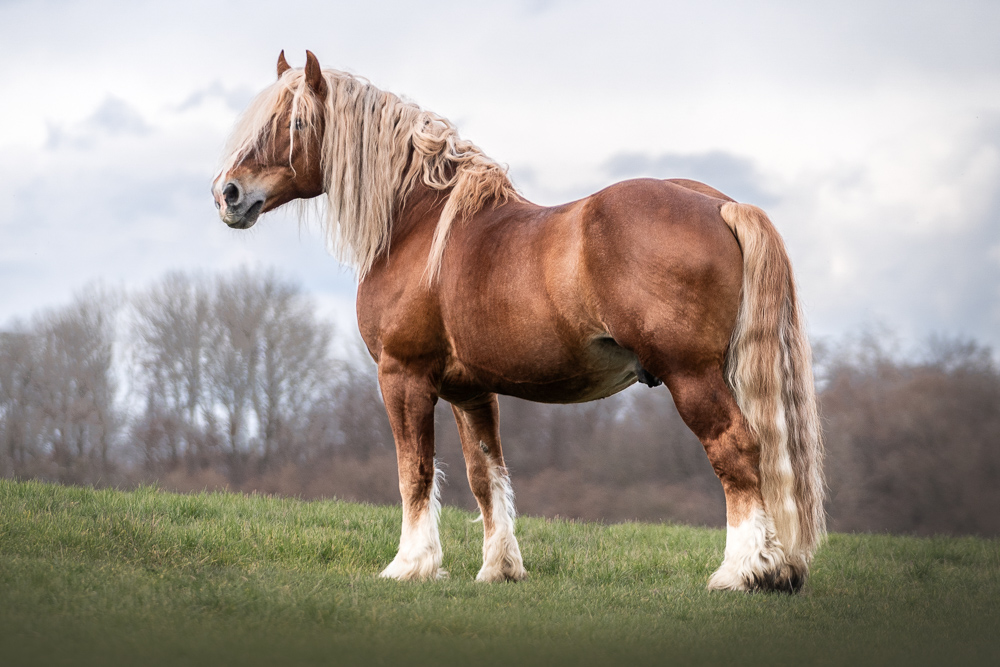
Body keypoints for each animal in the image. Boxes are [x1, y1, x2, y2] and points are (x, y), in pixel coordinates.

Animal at [213, 51, 825, 592]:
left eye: (294, 122)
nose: (228, 193)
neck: (418, 223)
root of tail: (722, 205)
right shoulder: (469, 391)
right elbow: (487, 476)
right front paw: (499, 568)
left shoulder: (403, 376)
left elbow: (415, 470)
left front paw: (410, 566)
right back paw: (780, 569)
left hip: (691, 376)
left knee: (736, 450)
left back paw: (741, 573)